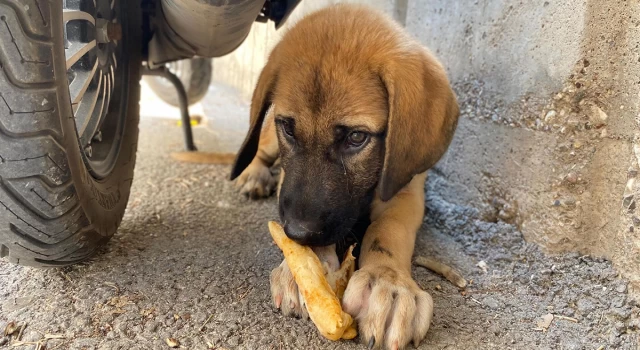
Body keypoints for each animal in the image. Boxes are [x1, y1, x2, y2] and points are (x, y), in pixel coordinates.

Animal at [231, 4, 460, 348]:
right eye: (289, 128)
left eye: (356, 137)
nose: (297, 233)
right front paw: (302, 269)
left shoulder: (406, 190)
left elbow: (388, 230)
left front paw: (388, 282)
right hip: (267, 139)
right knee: (258, 149)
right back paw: (254, 175)